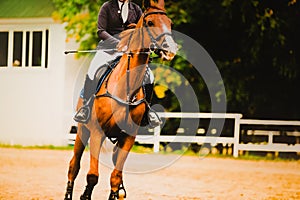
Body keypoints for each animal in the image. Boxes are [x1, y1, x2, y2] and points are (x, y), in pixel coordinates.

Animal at [63, 0, 176, 199]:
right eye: (150, 22)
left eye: (169, 23)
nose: (170, 50)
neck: (126, 89)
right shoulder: (97, 132)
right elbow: (92, 176)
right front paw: (85, 195)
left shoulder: (128, 136)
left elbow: (115, 177)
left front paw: (117, 191)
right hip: (83, 130)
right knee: (74, 165)